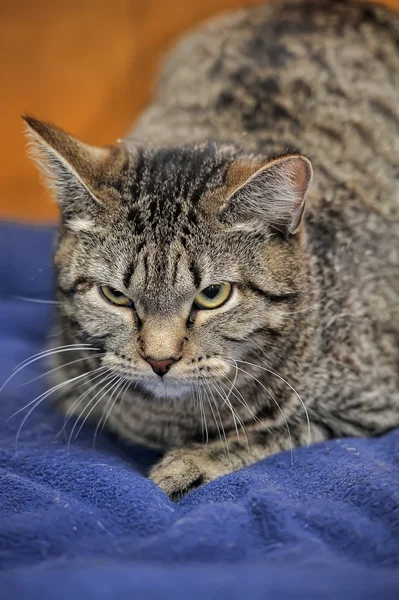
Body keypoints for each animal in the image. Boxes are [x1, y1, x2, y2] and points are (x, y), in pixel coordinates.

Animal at [25, 0, 399, 496]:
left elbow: (276, 431)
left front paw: (189, 463)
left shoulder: (367, 405)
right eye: (115, 296)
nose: (159, 360)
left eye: (213, 295)